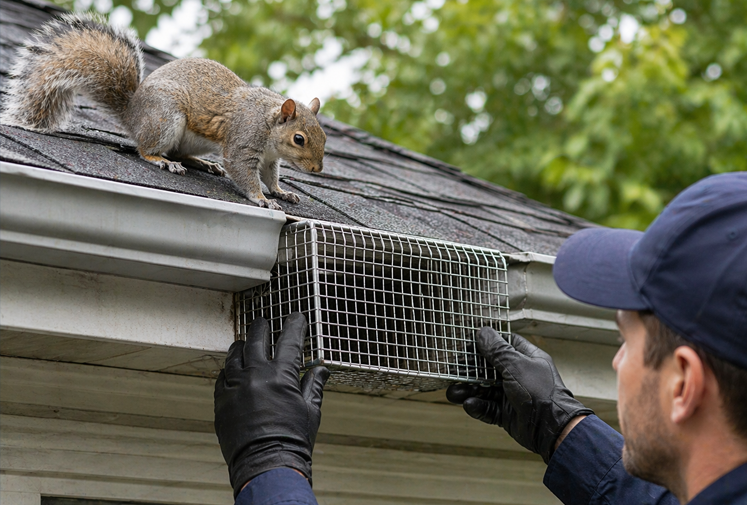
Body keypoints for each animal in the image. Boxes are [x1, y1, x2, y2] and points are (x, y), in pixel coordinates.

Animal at [0, 12, 326, 210]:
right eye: (299, 139)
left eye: (323, 137)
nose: (316, 170)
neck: (269, 123)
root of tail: (132, 114)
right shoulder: (243, 141)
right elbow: (243, 173)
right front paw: (262, 199)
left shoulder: (270, 159)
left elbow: (271, 176)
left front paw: (280, 192)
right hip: (165, 118)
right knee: (147, 150)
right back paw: (163, 161)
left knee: (179, 151)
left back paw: (201, 163)